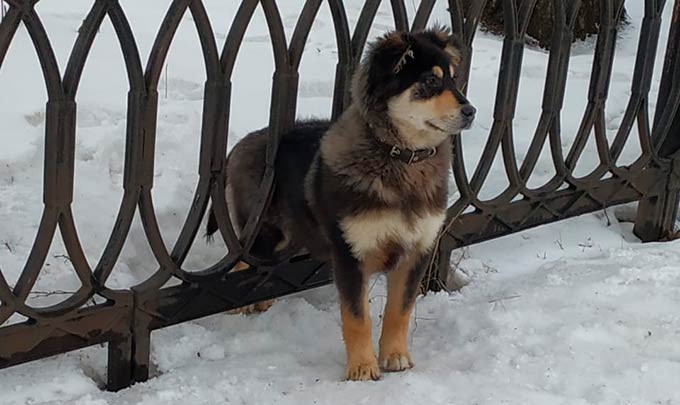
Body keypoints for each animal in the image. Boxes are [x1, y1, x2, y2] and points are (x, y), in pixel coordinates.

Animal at [205, 26, 476, 380]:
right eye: (430, 81)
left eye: (455, 80)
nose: (471, 112)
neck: (400, 160)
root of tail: (241, 144)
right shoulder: (350, 253)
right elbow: (357, 317)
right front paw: (362, 367)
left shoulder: (416, 251)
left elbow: (400, 310)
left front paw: (395, 356)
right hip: (262, 232)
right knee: (240, 261)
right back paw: (240, 303)